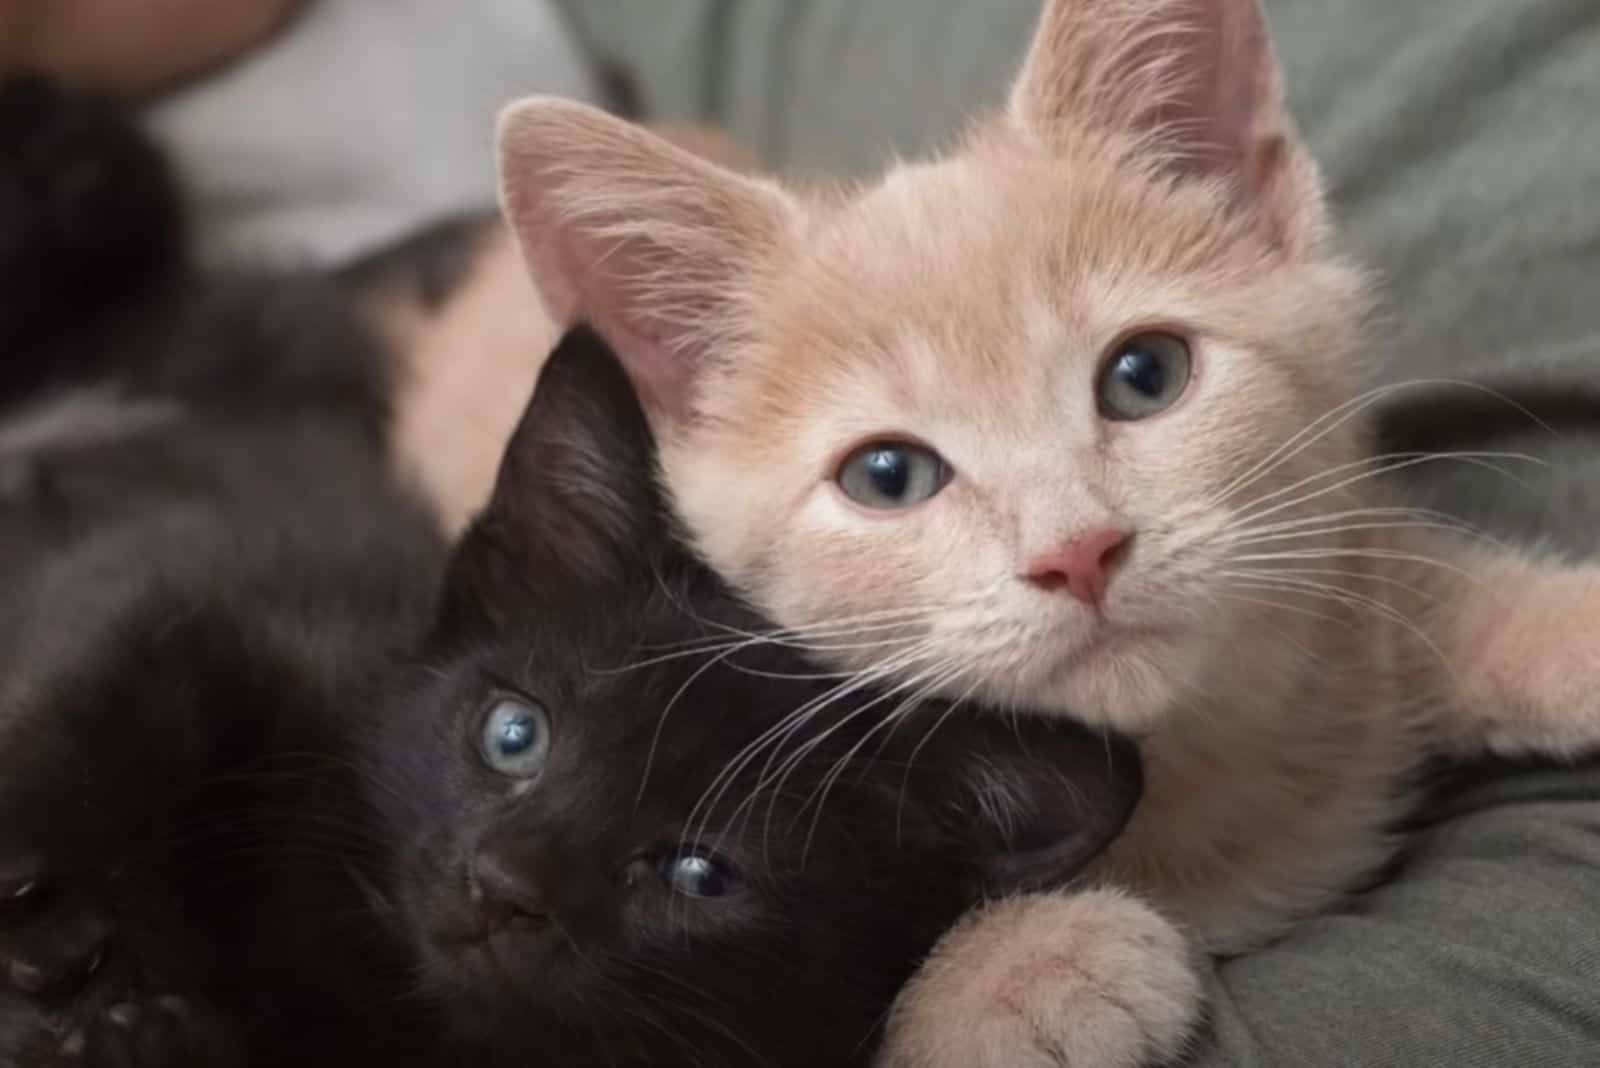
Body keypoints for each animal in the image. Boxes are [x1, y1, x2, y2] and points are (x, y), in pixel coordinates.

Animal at [3, 81, 1152, 1068]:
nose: (504, 883)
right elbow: (99, 674)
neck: (358, 946)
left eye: (700, 873)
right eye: (513, 734)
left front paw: (127, 1028)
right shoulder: (228, 571)